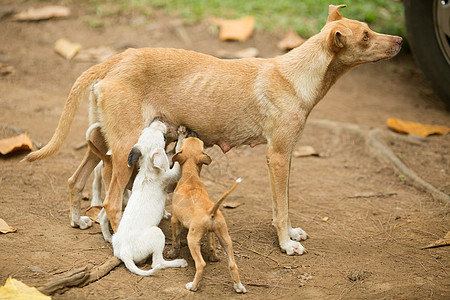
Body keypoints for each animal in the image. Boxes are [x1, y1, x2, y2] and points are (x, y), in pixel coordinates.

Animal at [22, 4, 402, 255]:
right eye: (366, 37)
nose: (399, 40)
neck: (295, 75)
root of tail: (115, 59)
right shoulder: (278, 156)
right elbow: (281, 207)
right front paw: (285, 243)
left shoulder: (287, 156)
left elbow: (282, 205)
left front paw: (290, 233)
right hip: (126, 148)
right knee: (112, 202)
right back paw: (118, 241)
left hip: (103, 142)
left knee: (78, 180)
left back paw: (80, 221)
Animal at [113, 120, 189, 276]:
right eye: (164, 138)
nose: (158, 121)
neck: (148, 169)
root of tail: (125, 252)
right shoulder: (171, 175)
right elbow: (178, 154)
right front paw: (182, 135)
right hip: (157, 234)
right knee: (158, 262)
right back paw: (179, 262)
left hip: (115, 239)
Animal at [170, 137, 246, 292]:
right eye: (202, 144)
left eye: (183, 142)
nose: (193, 135)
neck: (191, 176)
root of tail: (212, 211)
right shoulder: (211, 232)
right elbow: (211, 245)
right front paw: (213, 256)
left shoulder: (175, 219)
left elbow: (175, 240)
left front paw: (172, 253)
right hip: (225, 238)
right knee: (232, 264)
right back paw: (239, 286)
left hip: (192, 239)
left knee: (200, 264)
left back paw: (193, 286)